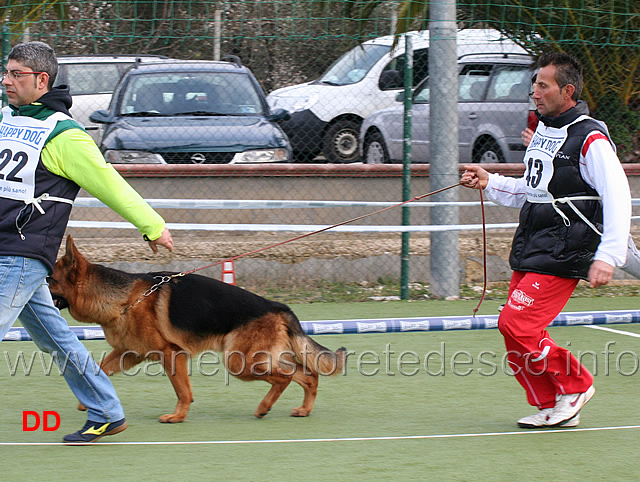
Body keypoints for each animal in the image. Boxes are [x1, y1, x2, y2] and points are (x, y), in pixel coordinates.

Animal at [48, 236, 344, 422]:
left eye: (49, 278)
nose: (38, 283)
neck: (125, 299)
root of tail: (277, 306)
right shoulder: (128, 353)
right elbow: (98, 370)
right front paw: (90, 399)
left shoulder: (171, 354)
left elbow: (183, 391)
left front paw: (178, 416)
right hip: (256, 359)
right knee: (307, 375)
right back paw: (303, 409)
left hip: (239, 362)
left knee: (285, 377)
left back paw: (263, 408)